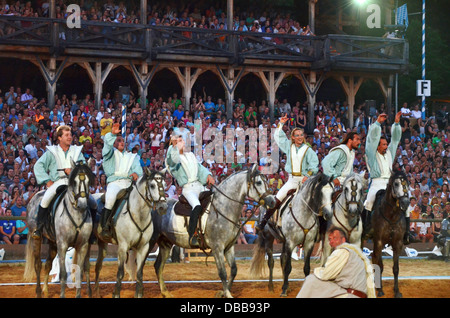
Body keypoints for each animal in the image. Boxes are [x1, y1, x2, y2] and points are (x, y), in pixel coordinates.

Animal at [23, 161, 96, 298]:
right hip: (37, 239)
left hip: (52, 242)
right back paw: (38, 291)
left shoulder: (83, 245)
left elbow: (80, 272)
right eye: (74, 182)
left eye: (89, 181)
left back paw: (46, 290)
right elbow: (62, 273)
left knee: (47, 264)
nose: (83, 204)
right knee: (38, 265)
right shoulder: (62, 244)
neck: (76, 214)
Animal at [92, 169, 168, 298]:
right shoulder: (123, 247)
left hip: (102, 243)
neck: (139, 215)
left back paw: (96, 293)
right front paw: (116, 294)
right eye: (152, 185)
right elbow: (120, 273)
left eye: (164, 183)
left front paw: (139, 294)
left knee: (98, 266)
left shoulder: (143, 247)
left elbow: (139, 273)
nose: (163, 207)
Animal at [151, 164, 276, 298]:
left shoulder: (229, 247)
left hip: (165, 243)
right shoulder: (217, 248)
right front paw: (227, 294)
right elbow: (222, 273)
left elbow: (233, 270)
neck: (224, 209)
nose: (273, 201)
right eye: (258, 182)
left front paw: (222, 293)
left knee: (158, 266)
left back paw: (165, 292)